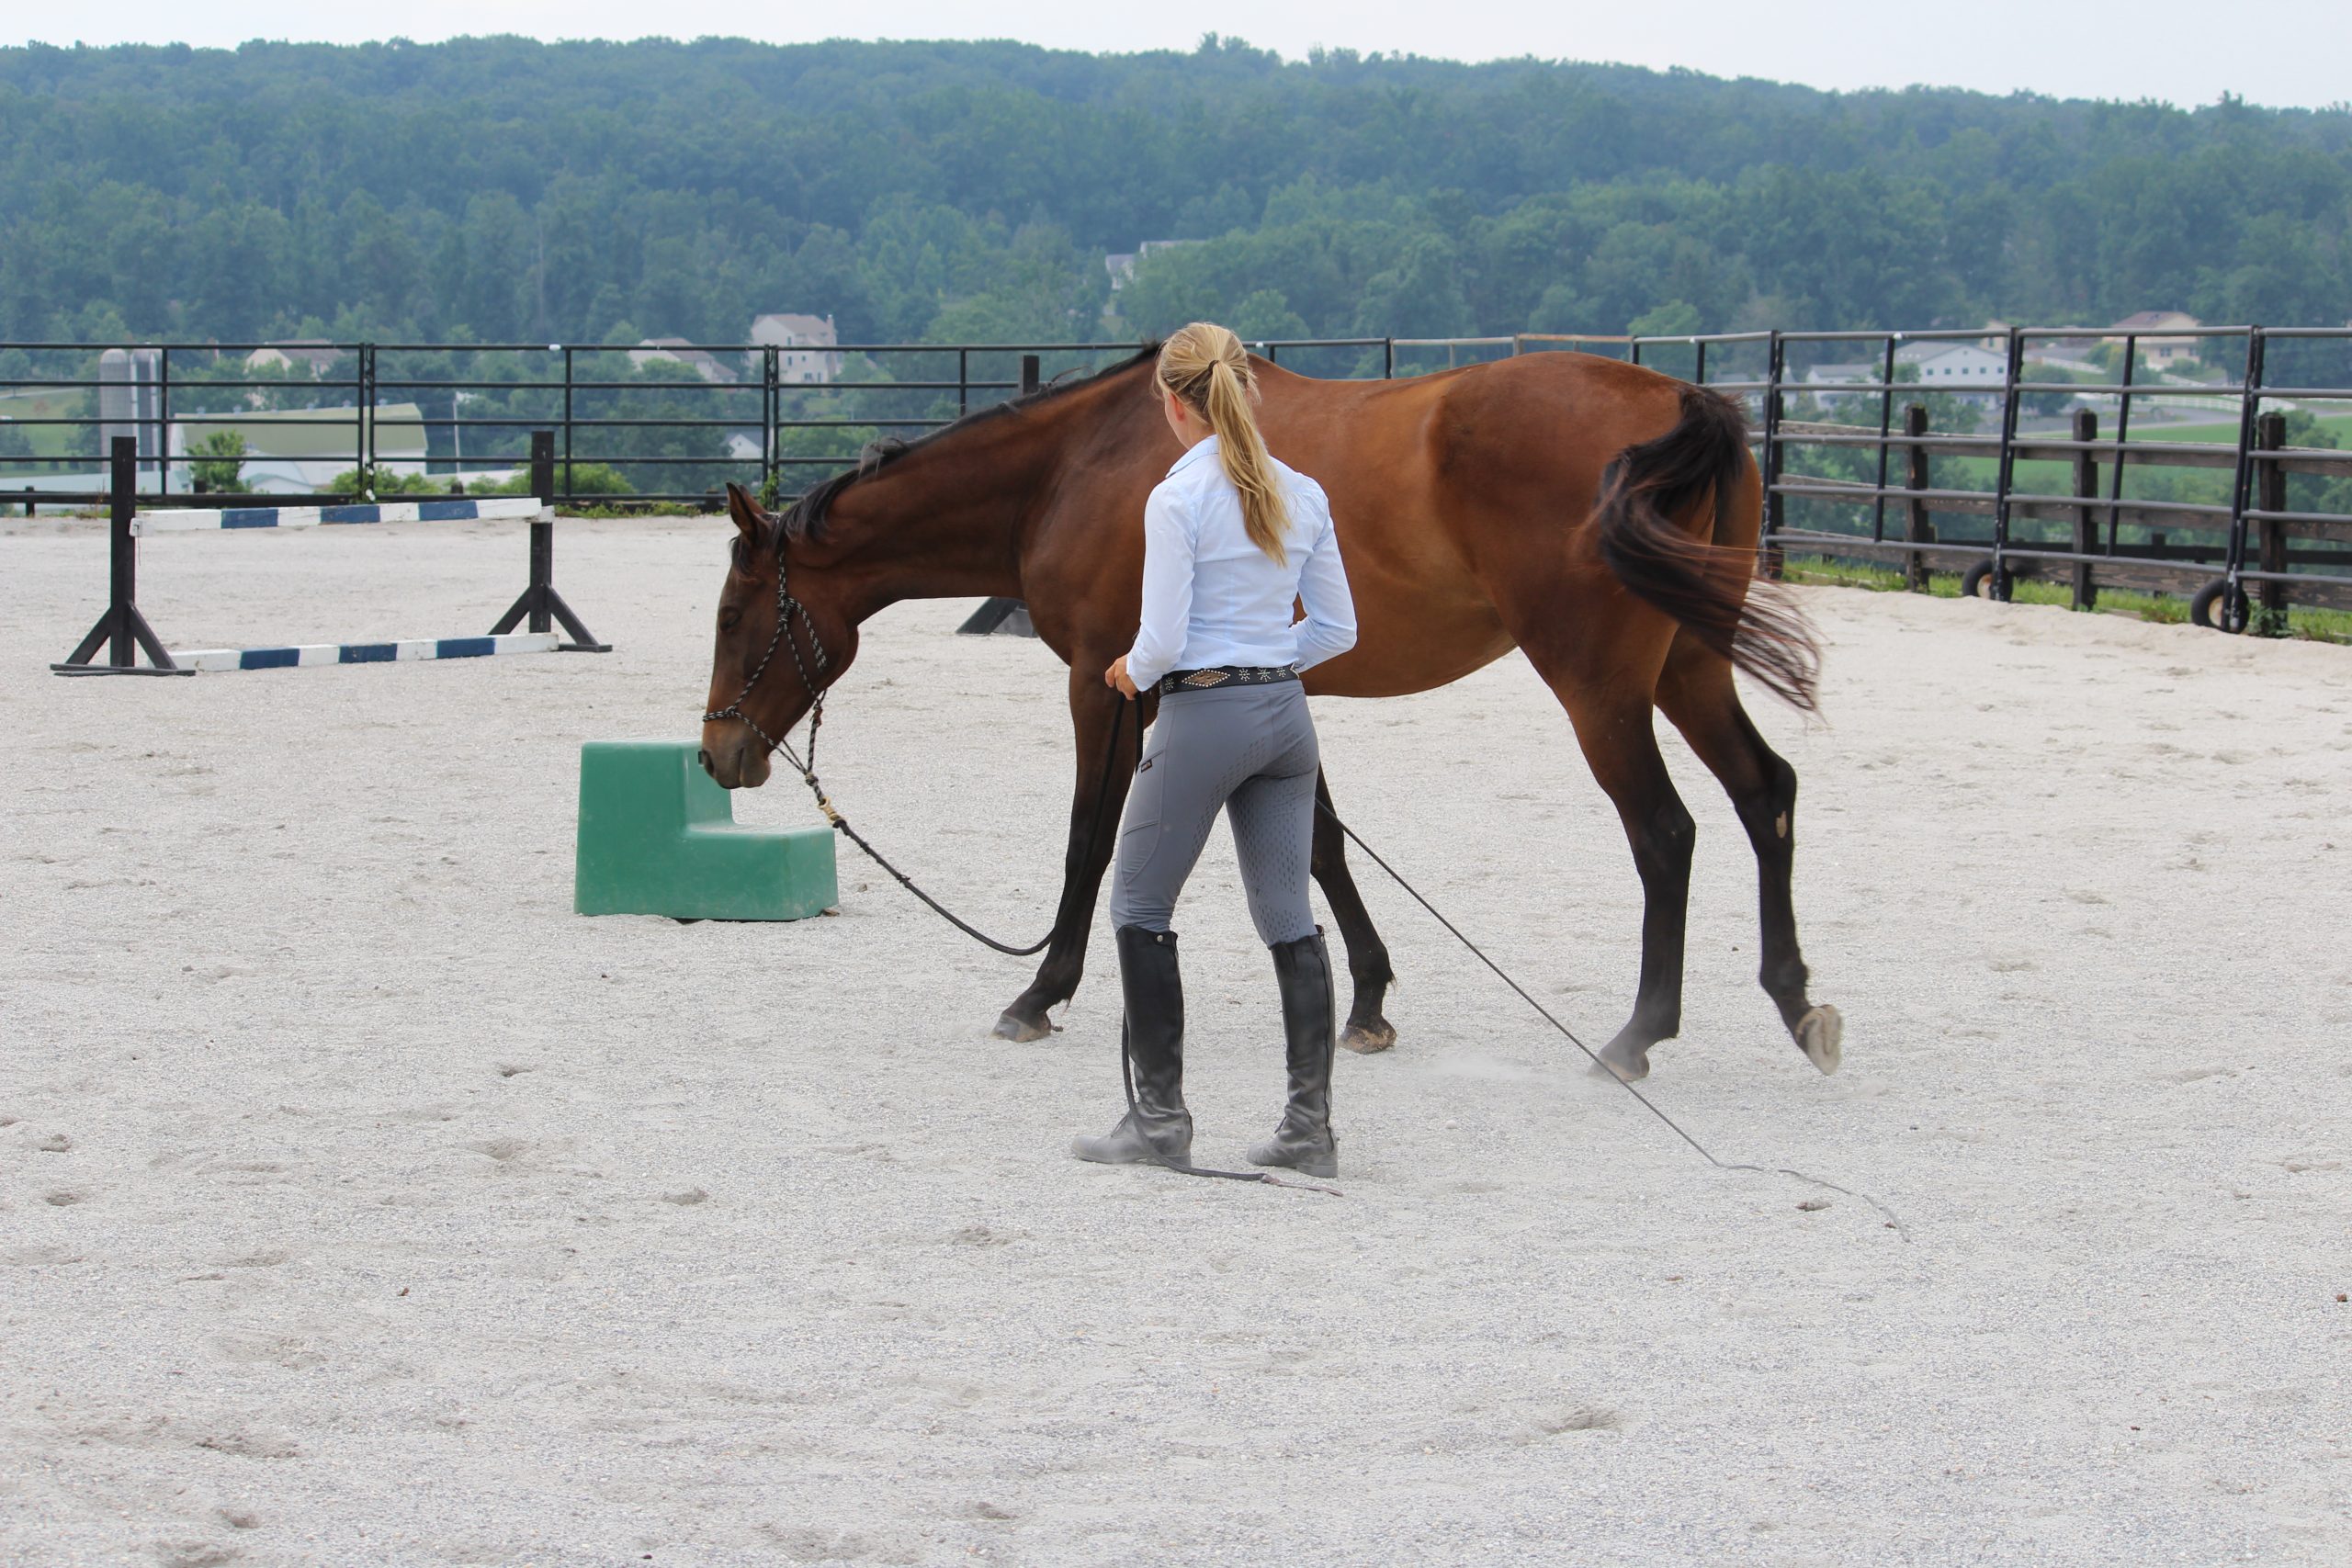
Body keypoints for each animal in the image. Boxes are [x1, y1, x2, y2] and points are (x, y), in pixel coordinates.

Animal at [695, 345, 1834, 1086]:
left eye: (732, 616)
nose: (717, 755)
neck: (1079, 465)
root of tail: (1678, 395)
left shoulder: (1110, 686)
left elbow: (1089, 841)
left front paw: (1039, 994)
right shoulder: (1263, 684)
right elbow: (1320, 845)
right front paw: (1368, 1002)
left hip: (1600, 687)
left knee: (1665, 833)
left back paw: (1636, 1036)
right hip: (1690, 666)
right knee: (1765, 794)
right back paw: (1794, 1000)